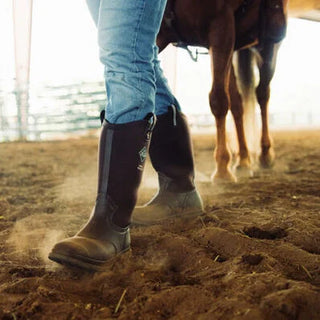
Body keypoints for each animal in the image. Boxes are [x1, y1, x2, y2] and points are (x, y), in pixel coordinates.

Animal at [157, 0, 288, 181]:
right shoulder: (159, 34)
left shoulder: (221, 27)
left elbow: (218, 100)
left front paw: (222, 169)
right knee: (237, 105)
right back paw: (243, 159)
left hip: (269, 47)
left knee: (262, 94)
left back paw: (265, 153)